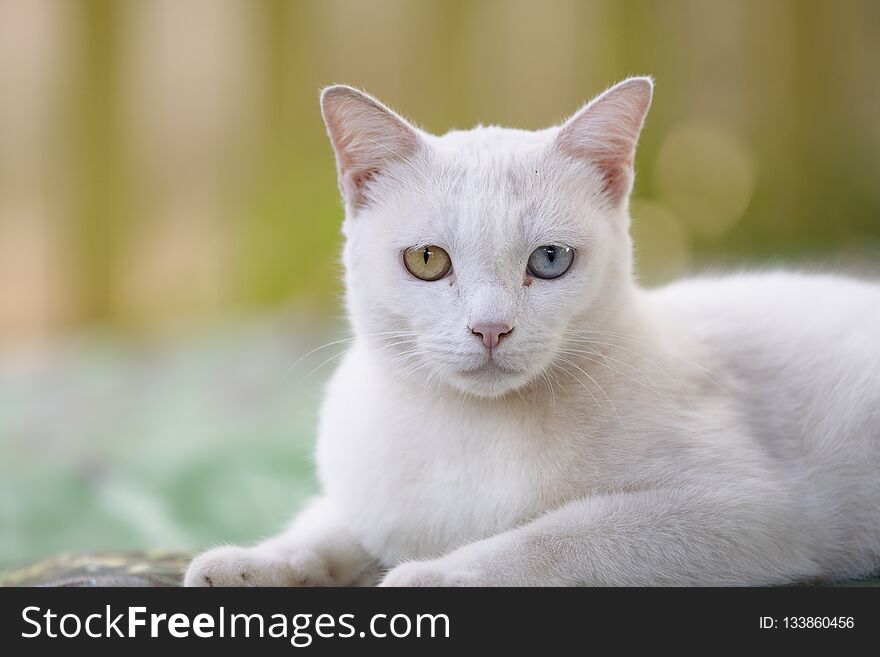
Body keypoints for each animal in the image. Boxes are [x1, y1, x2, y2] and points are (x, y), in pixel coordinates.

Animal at [184, 77, 880, 584]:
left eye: (549, 260)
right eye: (428, 260)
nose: (490, 328)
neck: (469, 433)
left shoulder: (741, 508)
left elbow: (553, 538)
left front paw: (433, 576)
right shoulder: (368, 501)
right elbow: (328, 529)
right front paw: (252, 563)